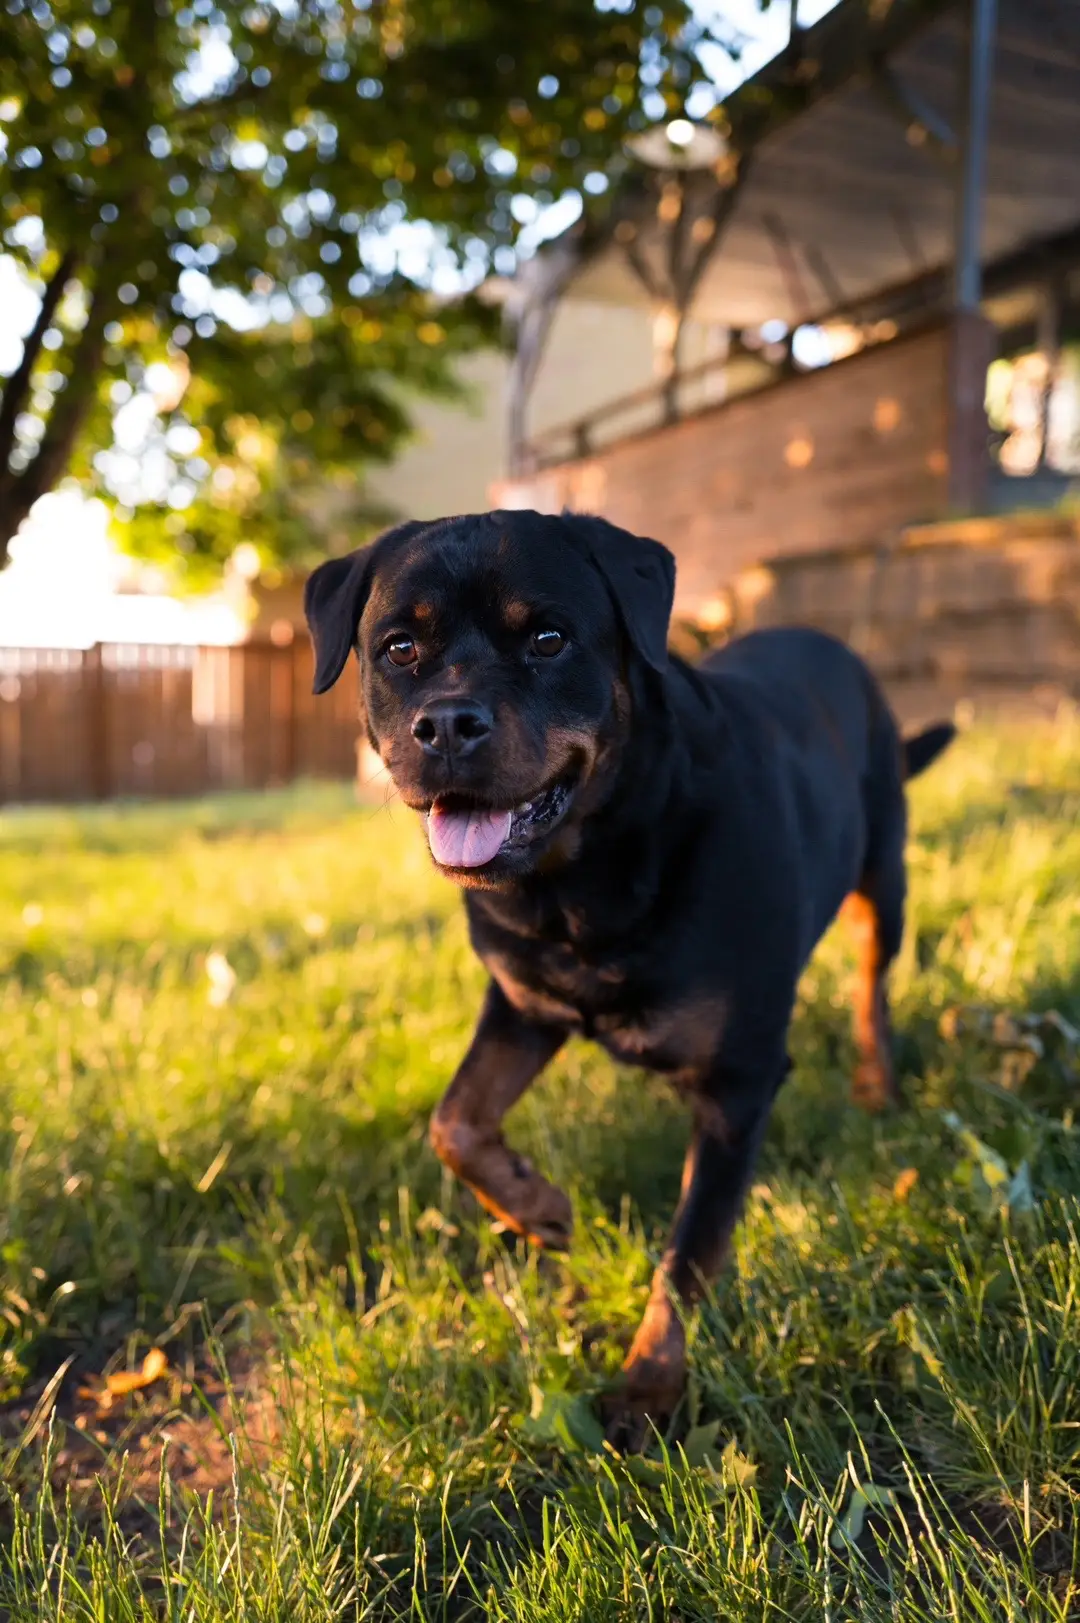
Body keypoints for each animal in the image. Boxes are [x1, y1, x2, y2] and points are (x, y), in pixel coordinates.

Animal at [303, 506, 954, 1434]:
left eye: (548, 638)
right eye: (399, 648)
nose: (448, 724)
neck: (582, 886)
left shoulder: (738, 1081)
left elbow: (686, 1255)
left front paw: (647, 1386)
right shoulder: (523, 1002)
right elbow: (455, 1120)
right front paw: (539, 1207)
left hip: (884, 873)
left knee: (874, 984)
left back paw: (876, 1083)